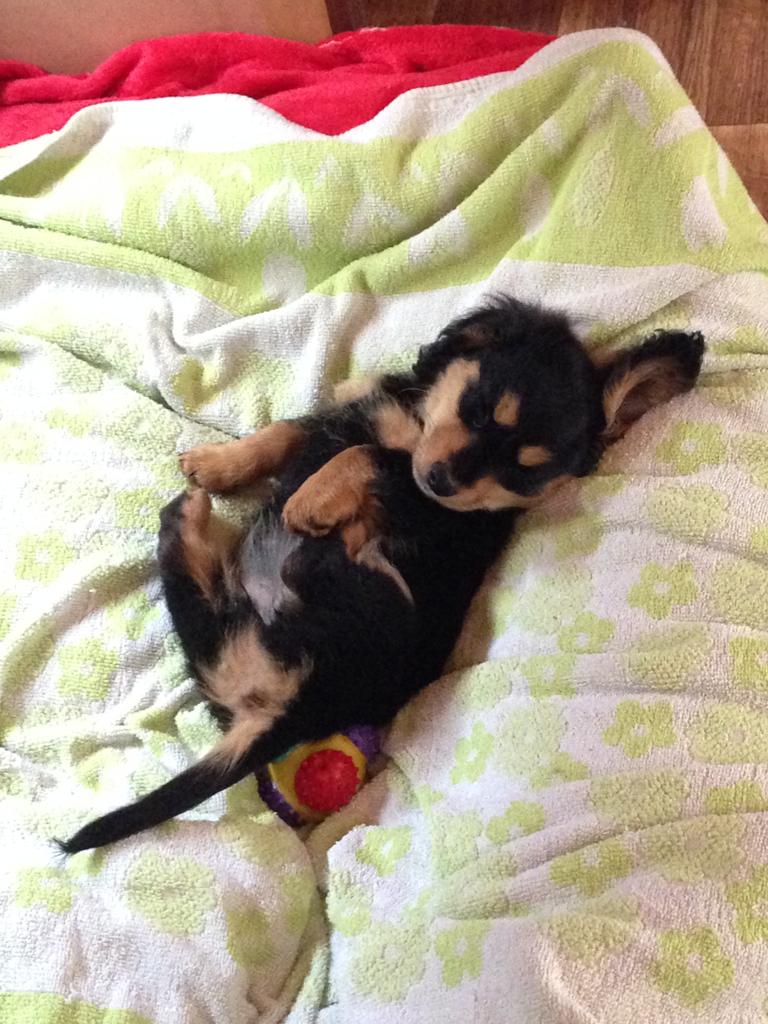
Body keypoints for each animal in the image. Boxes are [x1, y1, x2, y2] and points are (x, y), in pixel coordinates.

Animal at [59, 296, 704, 853]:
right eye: (476, 409)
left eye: (523, 475)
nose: (443, 479)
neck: (417, 425)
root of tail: (297, 706)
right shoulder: (356, 413)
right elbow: (288, 432)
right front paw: (218, 464)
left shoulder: (425, 507)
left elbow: (371, 458)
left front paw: (311, 501)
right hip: (235, 637)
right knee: (205, 613)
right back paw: (193, 512)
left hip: (377, 606)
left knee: (294, 569)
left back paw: (289, 530)